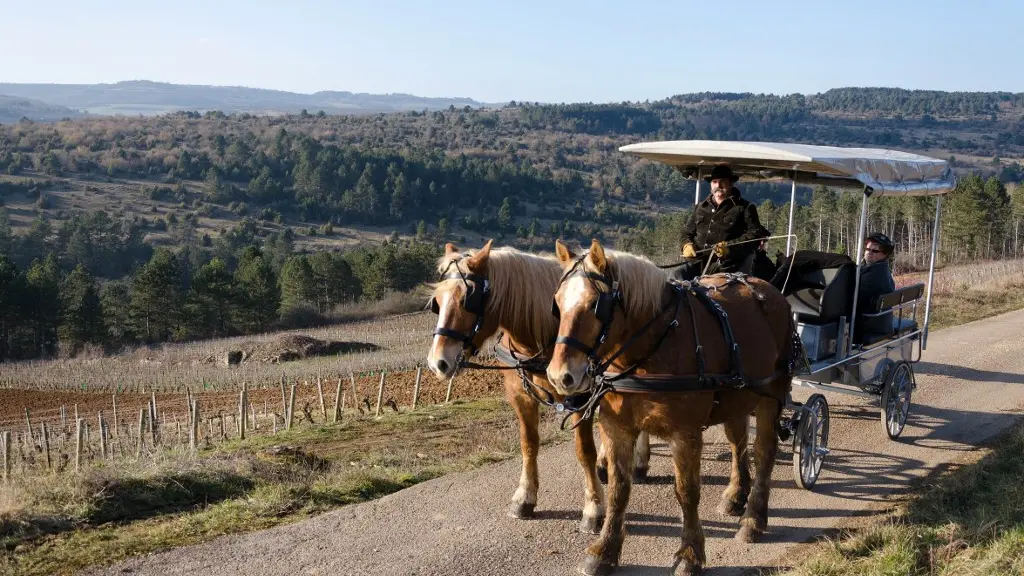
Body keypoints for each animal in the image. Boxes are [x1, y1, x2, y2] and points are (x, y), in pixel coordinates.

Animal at [421, 239, 647, 532]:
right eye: (437, 303)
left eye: (467, 301)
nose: (438, 363)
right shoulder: (521, 396)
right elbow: (528, 443)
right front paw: (524, 497)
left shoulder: (579, 397)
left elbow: (584, 450)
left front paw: (593, 508)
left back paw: (639, 462)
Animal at [548, 237, 794, 573]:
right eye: (558, 303)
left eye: (595, 305)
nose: (560, 376)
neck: (651, 346)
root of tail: (770, 290)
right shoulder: (615, 428)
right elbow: (618, 489)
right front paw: (604, 551)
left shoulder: (685, 433)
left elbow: (687, 492)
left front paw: (690, 554)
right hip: (737, 397)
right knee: (738, 442)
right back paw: (735, 494)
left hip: (772, 394)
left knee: (764, 452)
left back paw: (753, 519)